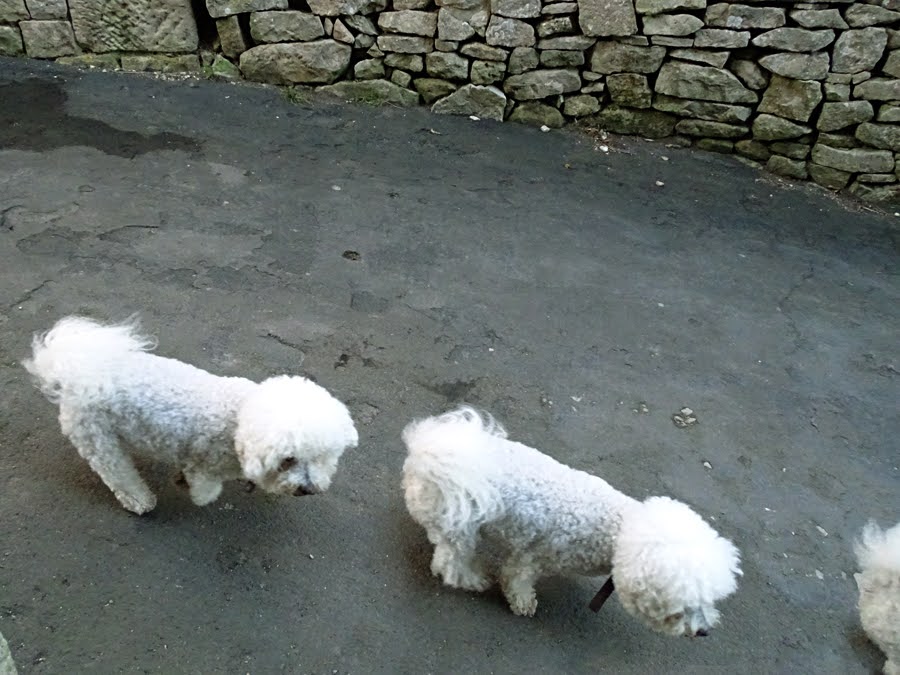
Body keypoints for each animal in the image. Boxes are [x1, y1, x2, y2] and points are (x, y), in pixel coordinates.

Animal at [23, 316, 358, 514]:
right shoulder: (206, 463)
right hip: (96, 438)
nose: (307, 490)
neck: (238, 415)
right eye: (288, 460)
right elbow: (205, 488)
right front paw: (197, 492)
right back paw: (139, 501)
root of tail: (75, 370)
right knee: (116, 471)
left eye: (322, 457)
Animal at [401, 406, 741, 636]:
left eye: (710, 600)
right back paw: (472, 578)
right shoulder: (535, 554)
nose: (704, 631)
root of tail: (428, 451)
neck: (618, 529)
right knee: (451, 561)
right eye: (682, 609)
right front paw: (522, 603)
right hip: (460, 523)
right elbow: (517, 578)